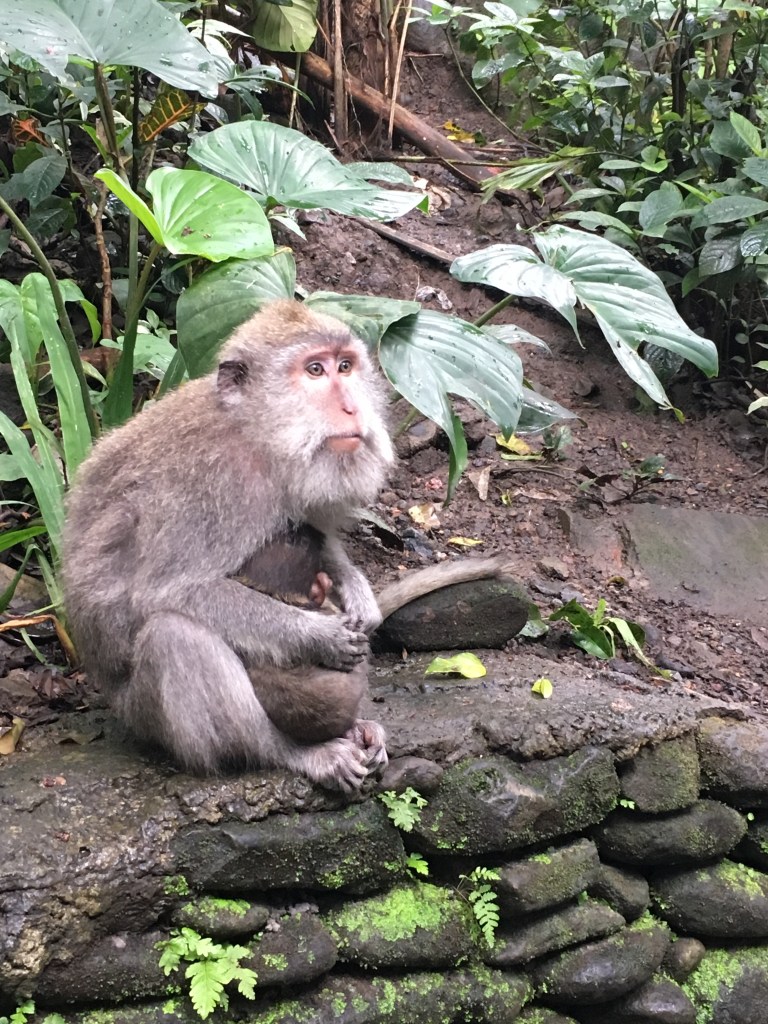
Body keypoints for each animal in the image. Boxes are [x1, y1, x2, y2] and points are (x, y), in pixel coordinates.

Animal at [61, 299, 396, 792]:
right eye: (315, 370)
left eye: (346, 366)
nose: (352, 407)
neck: (255, 433)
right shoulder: (216, 485)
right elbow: (169, 592)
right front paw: (320, 636)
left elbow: (322, 538)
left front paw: (357, 594)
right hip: (142, 715)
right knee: (173, 635)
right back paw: (291, 751)